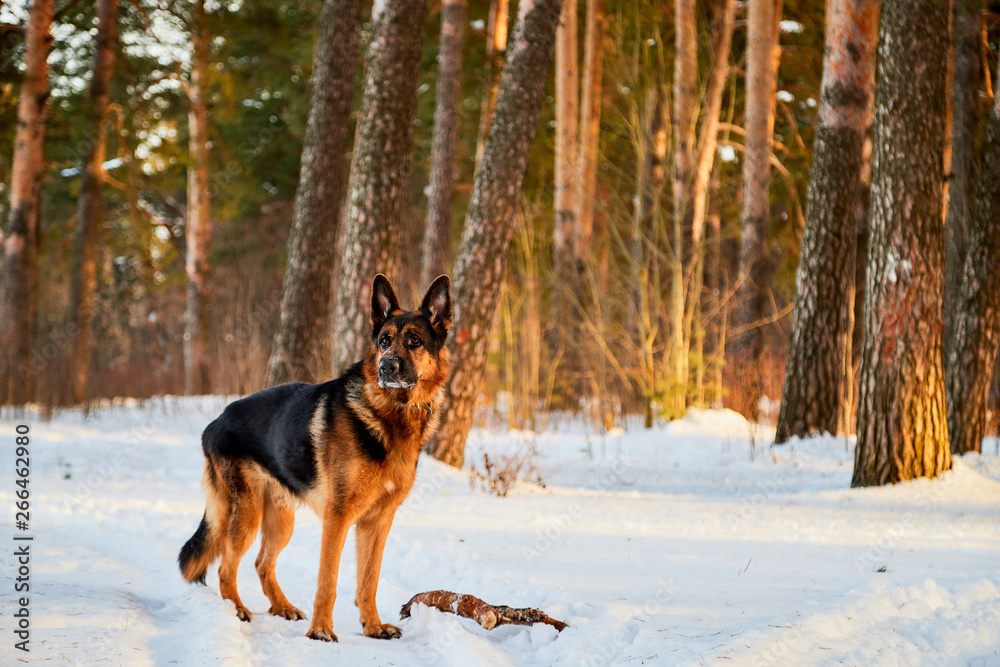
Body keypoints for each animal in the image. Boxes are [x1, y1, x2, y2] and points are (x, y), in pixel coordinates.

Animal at [178, 276, 452, 640]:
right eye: (384, 341)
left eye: (414, 342)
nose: (385, 367)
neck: (390, 413)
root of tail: (214, 422)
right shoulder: (337, 518)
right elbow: (328, 580)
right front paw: (321, 631)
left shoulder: (377, 523)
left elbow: (369, 581)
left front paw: (373, 626)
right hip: (246, 514)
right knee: (225, 567)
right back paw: (236, 610)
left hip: (281, 519)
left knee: (262, 563)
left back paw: (282, 607)